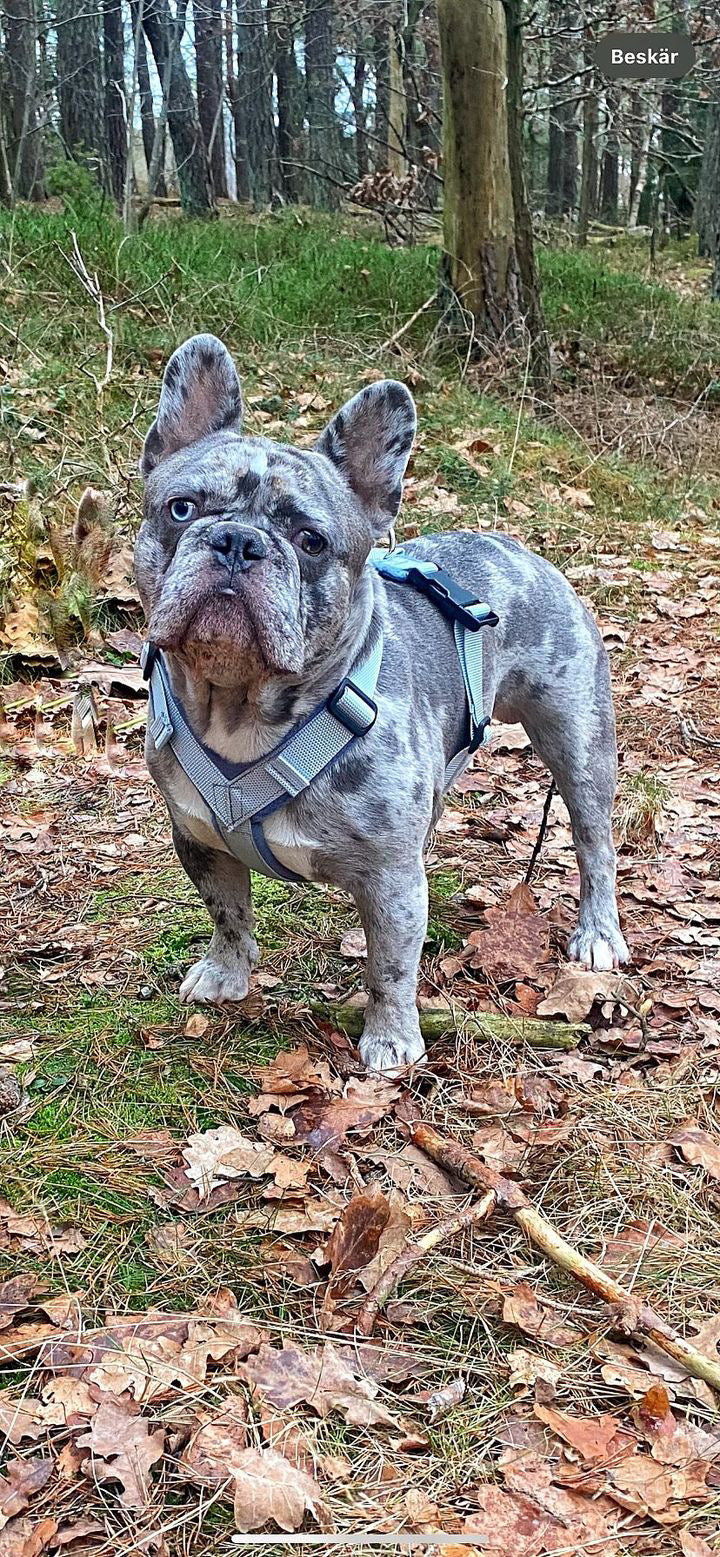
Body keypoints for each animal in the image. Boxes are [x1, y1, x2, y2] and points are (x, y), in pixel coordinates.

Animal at [135, 333, 629, 1073]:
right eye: (182, 508)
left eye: (311, 541)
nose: (238, 541)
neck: (244, 708)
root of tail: (518, 548)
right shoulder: (197, 837)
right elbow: (228, 912)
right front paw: (226, 973)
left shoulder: (392, 881)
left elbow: (390, 965)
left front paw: (391, 1040)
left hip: (579, 742)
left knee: (594, 841)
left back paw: (598, 933)